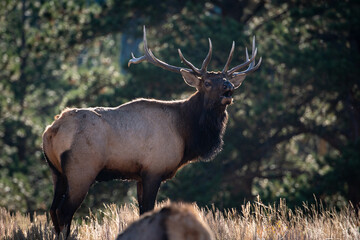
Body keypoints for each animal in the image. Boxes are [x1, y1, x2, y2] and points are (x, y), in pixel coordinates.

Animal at [43, 26, 262, 236]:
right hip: (81, 170)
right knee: (64, 212)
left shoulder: (140, 175)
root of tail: (51, 131)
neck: (186, 134)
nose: (228, 87)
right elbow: (148, 210)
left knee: (53, 211)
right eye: (207, 83)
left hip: (57, 173)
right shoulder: (153, 169)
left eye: (226, 80)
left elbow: (143, 212)